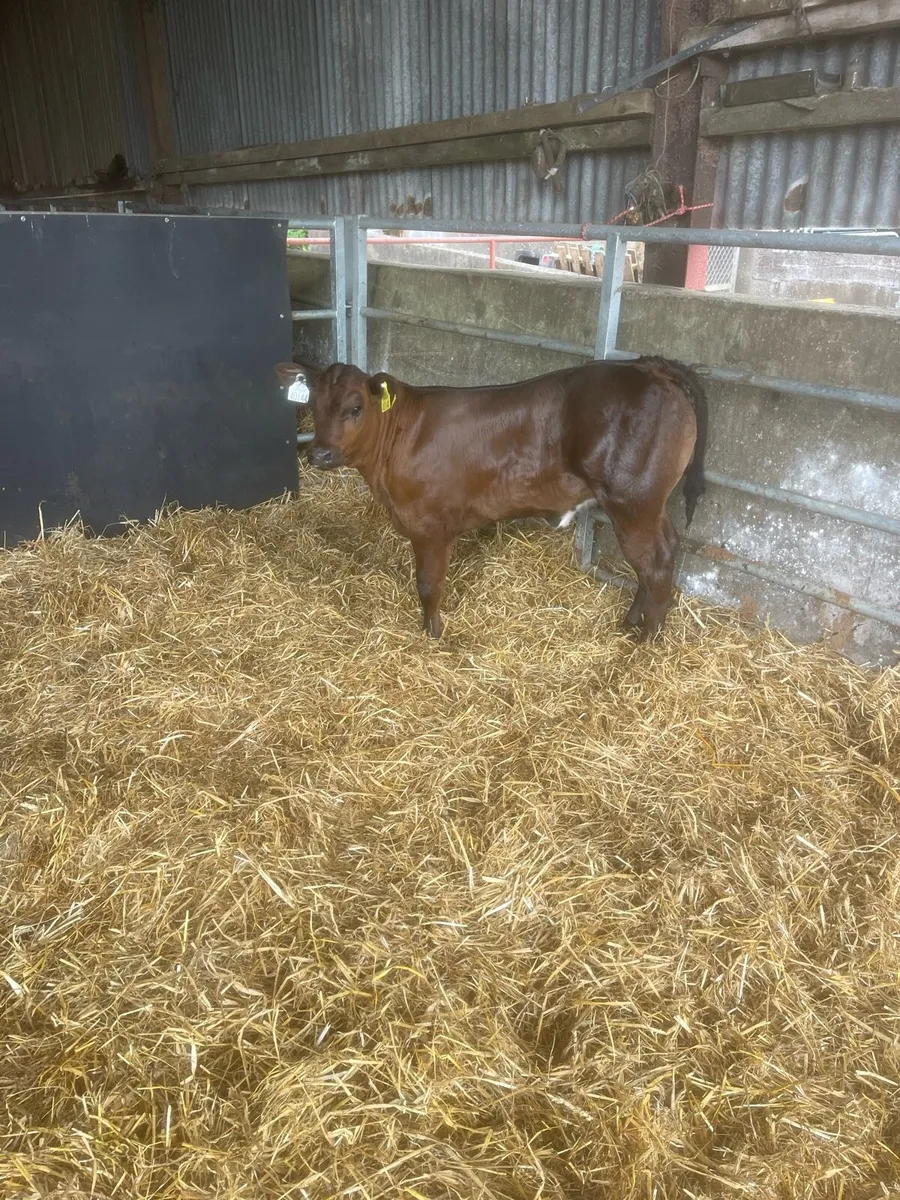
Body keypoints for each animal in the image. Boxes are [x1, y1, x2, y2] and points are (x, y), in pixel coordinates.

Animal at [276, 358, 708, 641]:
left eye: (355, 407)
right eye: (312, 404)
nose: (319, 454)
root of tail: (649, 367)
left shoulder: (430, 526)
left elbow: (428, 584)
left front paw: (433, 634)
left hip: (633, 501)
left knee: (654, 563)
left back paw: (647, 639)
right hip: (650, 503)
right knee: (662, 552)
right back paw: (633, 621)